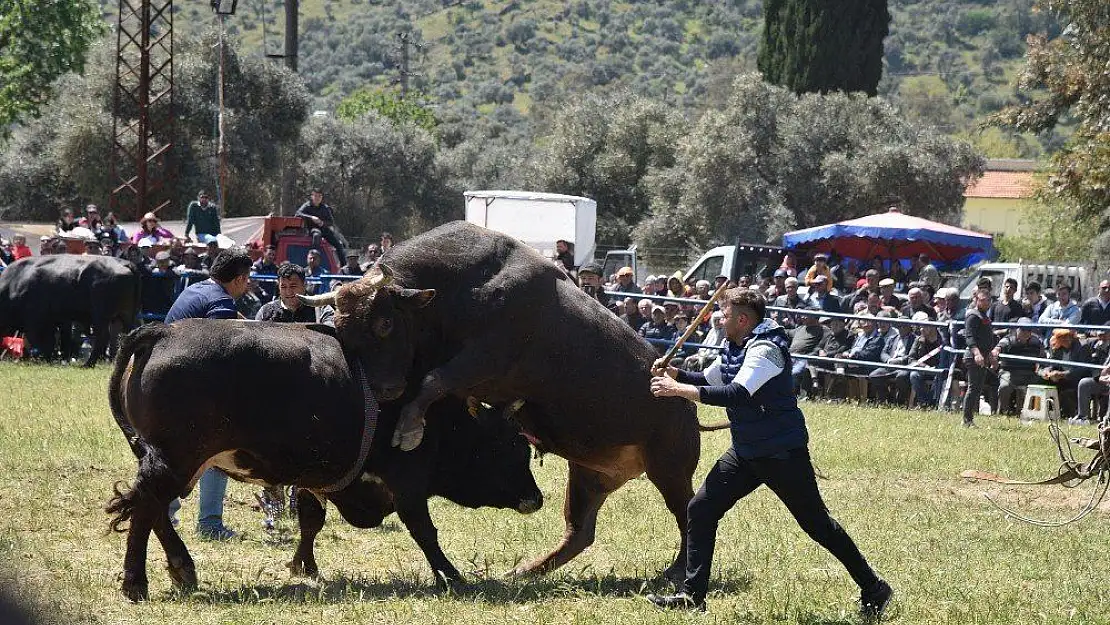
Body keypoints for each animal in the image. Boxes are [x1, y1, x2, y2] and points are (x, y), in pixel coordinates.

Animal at [0, 253, 142, 364]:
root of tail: (125, 263)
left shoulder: (35, 321)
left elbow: (39, 340)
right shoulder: (60, 320)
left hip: (101, 316)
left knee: (102, 337)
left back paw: (88, 364)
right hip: (125, 316)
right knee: (128, 335)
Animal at [104, 319, 541, 603]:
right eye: (511, 449)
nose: (537, 499)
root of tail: (164, 331)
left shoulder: (315, 477)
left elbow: (310, 520)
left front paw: (304, 565)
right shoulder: (408, 482)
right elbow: (424, 530)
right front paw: (451, 575)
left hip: (169, 461)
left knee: (152, 507)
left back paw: (182, 567)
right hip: (173, 460)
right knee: (146, 508)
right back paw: (136, 582)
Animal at [297, 220, 710, 581]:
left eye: (384, 324)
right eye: (341, 328)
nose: (381, 391)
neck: (463, 285)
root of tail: (685, 403)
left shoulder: (484, 357)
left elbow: (434, 381)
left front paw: (409, 428)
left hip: (669, 469)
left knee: (686, 515)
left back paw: (676, 571)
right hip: (589, 476)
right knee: (580, 532)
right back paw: (526, 571)